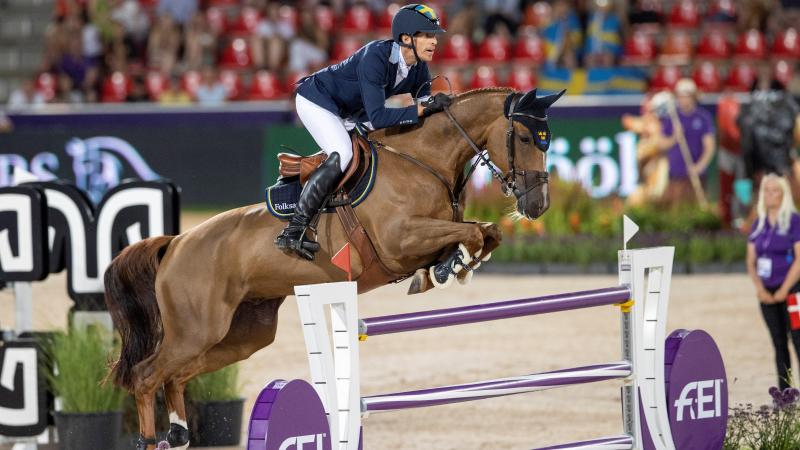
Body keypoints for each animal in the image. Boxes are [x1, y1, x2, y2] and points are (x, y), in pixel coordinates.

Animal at [103, 86, 564, 448]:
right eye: (526, 137)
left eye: (547, 141)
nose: (538, 206)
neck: (422, 159)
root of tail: (176, 243)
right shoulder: (400, 240)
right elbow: (471, 234)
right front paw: (450, 266)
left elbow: (485, 232)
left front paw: (448, 267)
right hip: (197, 328)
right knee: (146, 375)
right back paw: (149, 440)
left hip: (242, 335)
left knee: (177, 376)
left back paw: (178, 432)